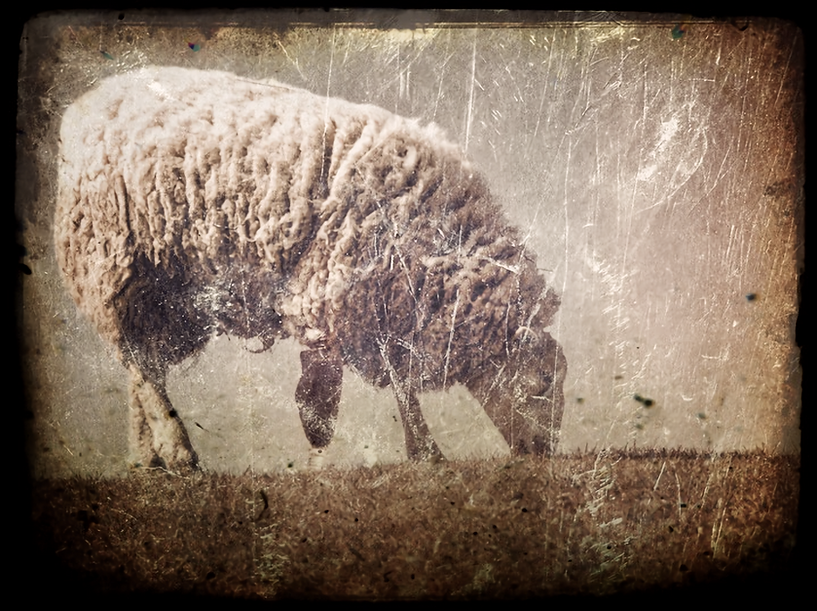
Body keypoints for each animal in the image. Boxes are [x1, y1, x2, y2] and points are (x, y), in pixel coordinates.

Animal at [55, 66, 566, 472]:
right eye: (544, 383)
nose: (545, 455)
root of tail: (85, 104)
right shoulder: (339, 293)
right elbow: (341, 394)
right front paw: (332, 453)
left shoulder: (380, 307)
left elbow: (398, 386)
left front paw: (420, 452)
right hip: (115, 265)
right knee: (144, 370)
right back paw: (178, 452)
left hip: (156, 299)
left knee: (142, 368)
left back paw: (147, 457)